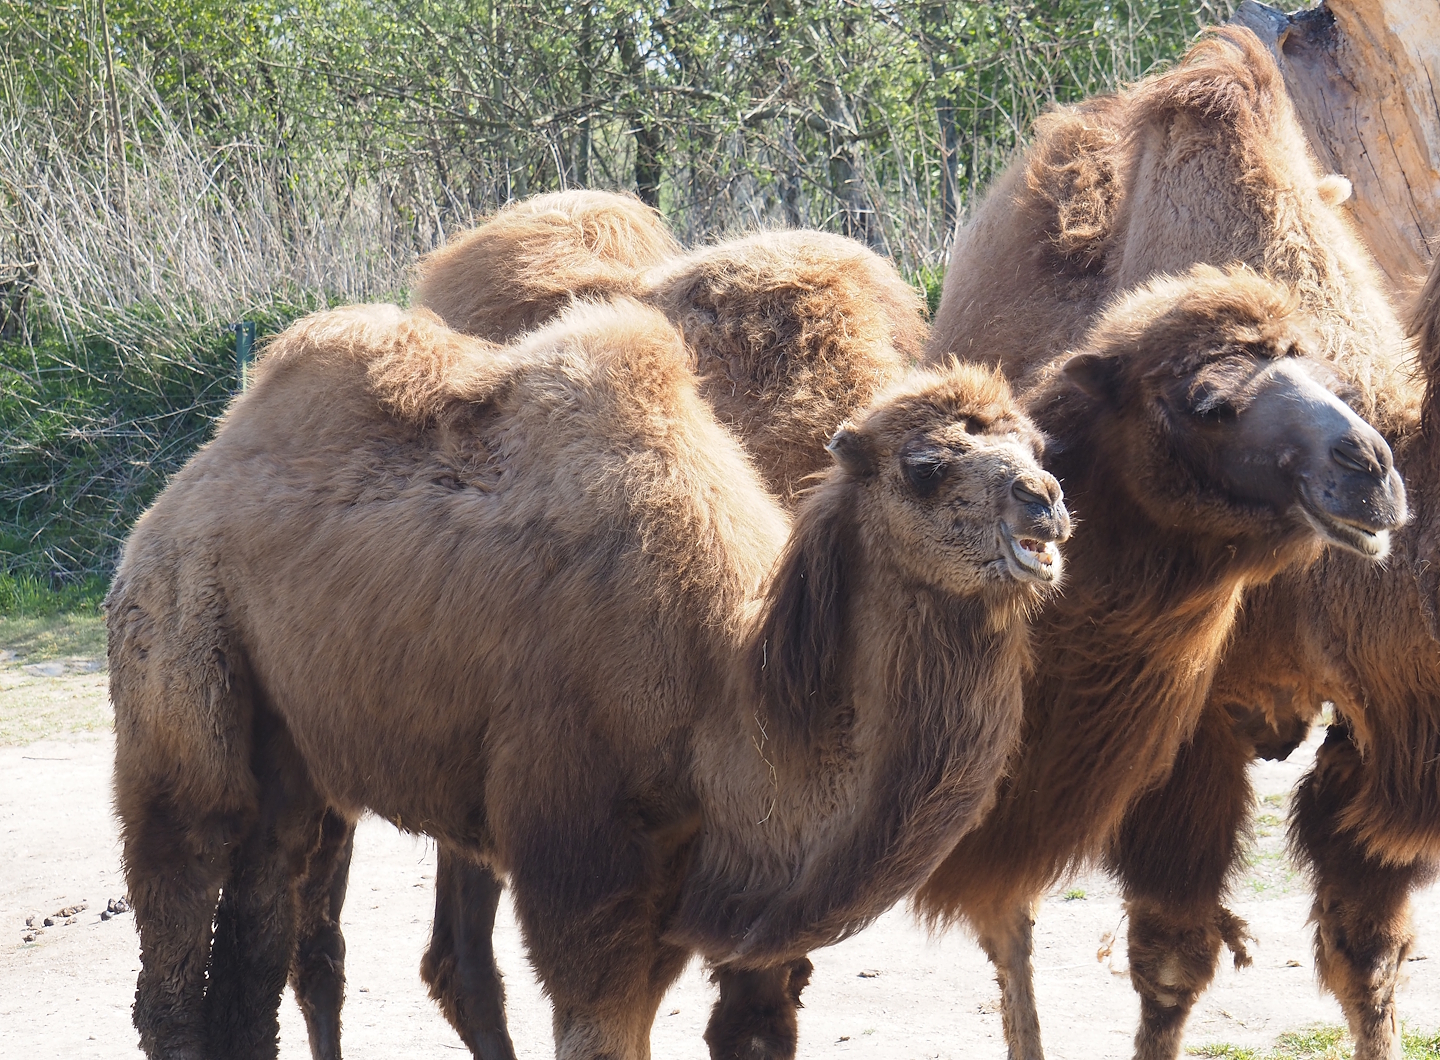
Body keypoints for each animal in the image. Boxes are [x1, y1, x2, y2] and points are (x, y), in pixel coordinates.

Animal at [109, 298, 1072, 1060]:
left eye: (1037, 444)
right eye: (925, 467)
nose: (1044, 501)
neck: (723, 693)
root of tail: (176, 497)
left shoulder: (669, 885)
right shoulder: (579, 857)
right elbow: (596, 1032)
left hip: (293, 752)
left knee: (259, 930)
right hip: (181, 644)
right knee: (183, 882)